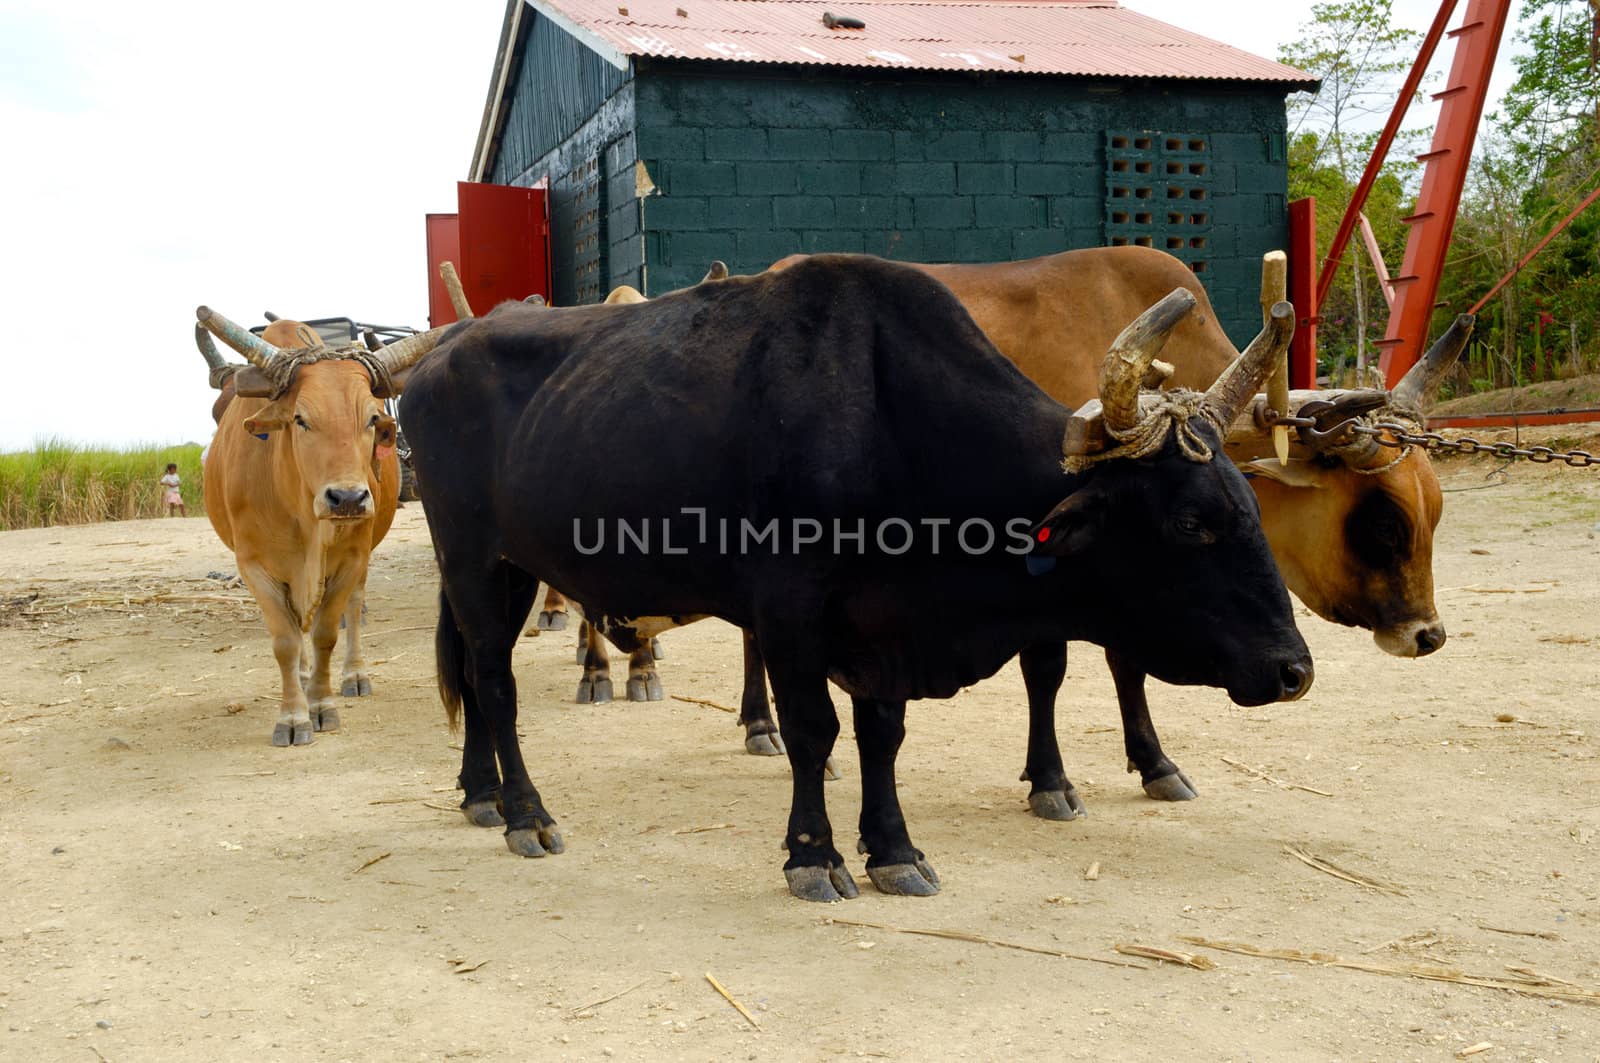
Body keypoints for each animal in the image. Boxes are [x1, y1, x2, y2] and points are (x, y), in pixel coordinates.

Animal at [195, 315, 444, 742]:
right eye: (301, 420)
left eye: (372, 419)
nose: (347, 498)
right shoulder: (254, 566)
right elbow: (285, 641)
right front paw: (293, 715)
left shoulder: (352, 559)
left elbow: (326, 634)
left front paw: (321, 704)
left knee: (353, 608)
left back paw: (353, 675)